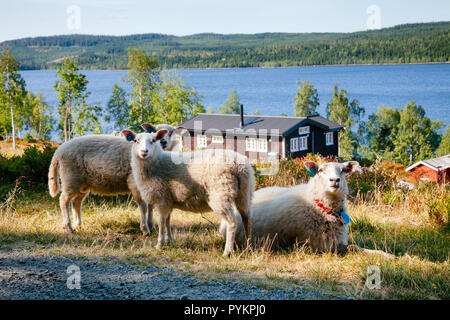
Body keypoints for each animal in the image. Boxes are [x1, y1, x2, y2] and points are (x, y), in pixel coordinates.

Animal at [48, 122, 183, 235]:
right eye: (136, 140)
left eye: (171, 132)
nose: (163, 142)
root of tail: (59, 151)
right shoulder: (134, 182)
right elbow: (143, 206)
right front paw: (145, 229)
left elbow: (150, 206)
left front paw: (152, 226)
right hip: (71, 178)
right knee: (63, 200)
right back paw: (68, 227)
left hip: (83, 183)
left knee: (76, 202)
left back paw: (79, 226)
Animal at [121, 129, 255, 256]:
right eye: (136, 141)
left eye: (153, 141)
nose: (144, 152)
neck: (156, 163)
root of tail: (238, 165)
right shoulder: (169, 200)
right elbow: (168, 220)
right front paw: (169, 241)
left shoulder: (162, 199)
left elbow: (161, 221)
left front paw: (160, 244)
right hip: (245, 193)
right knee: (246, 219)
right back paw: (248, 248)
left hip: (221, 194)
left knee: (232, 222)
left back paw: (228, 252)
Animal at [221, 161, 390, 256]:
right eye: (320, 170)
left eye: (343, 170)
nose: (334, 180)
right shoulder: (321, 246)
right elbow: (353, 248)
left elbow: (357, 246)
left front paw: (385, 254)